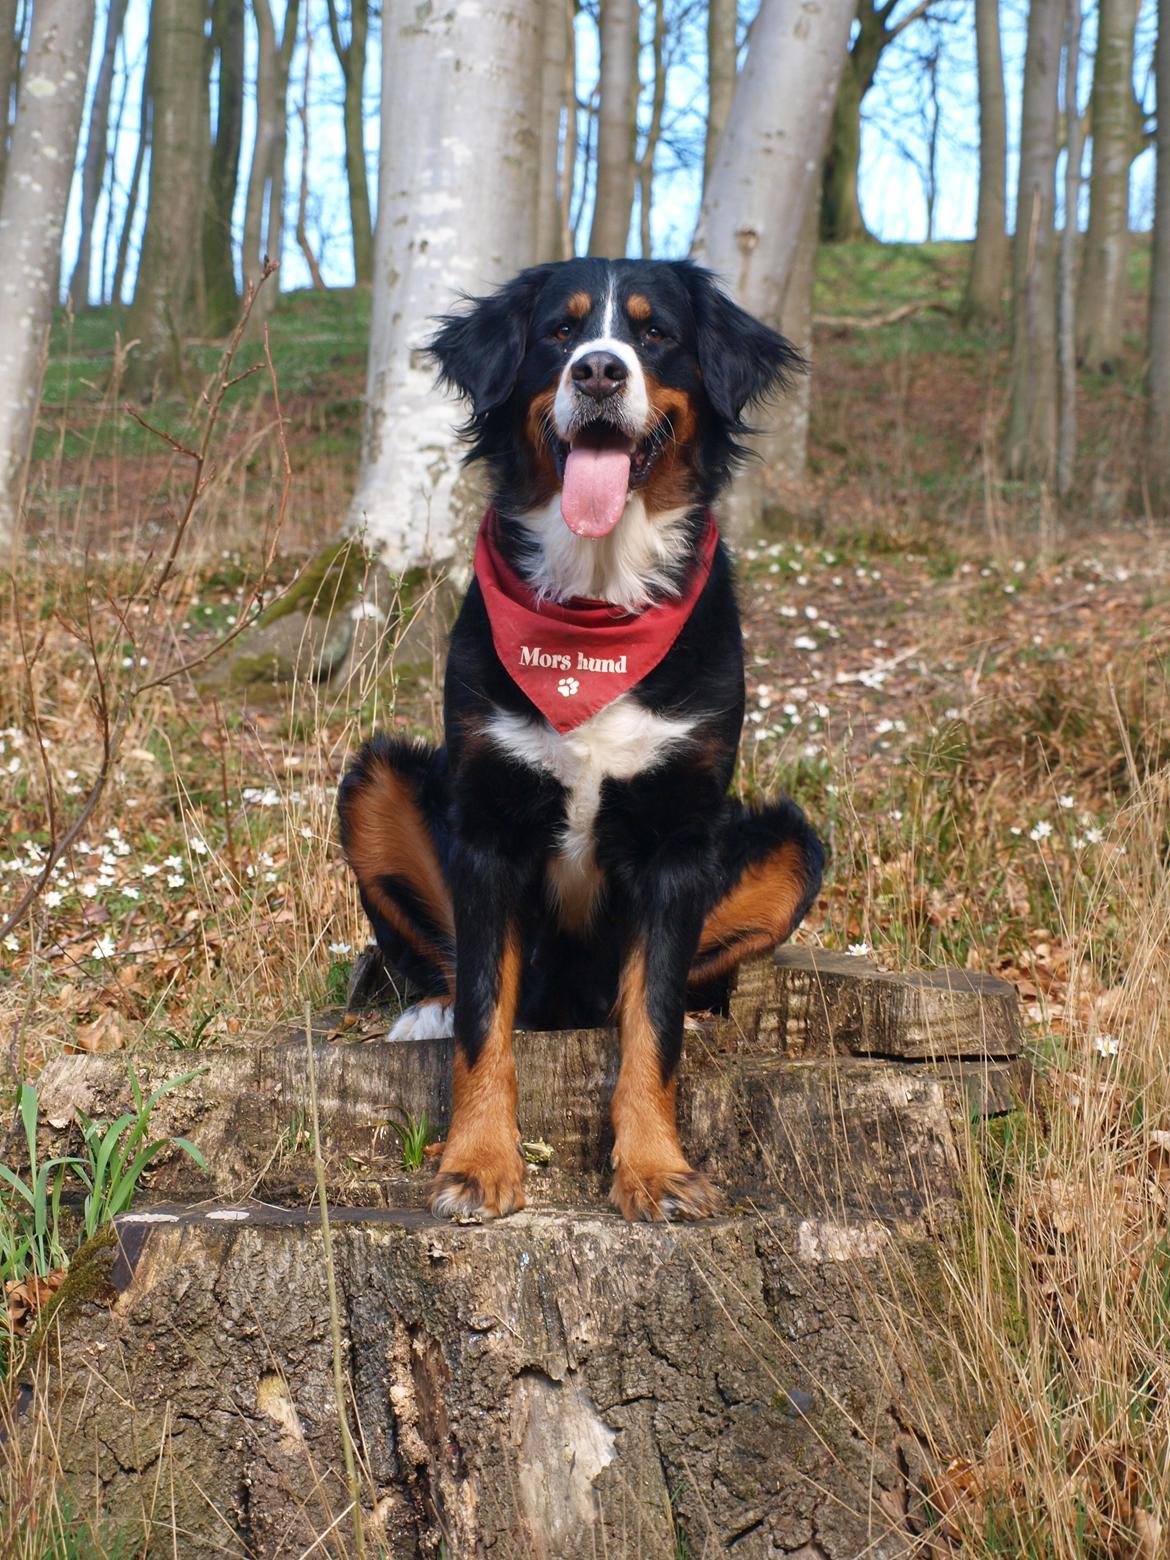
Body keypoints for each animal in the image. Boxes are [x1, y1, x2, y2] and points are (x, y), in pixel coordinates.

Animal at [336, 262, 823, 1223]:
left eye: (656, 333)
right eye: (560, 333)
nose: (599, 370)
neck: (597, 598)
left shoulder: (679, 838)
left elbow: (652, 1026)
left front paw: (655, 1168)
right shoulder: (487, 826)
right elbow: (483, 1017)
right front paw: (478, 1160)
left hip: (792, 845)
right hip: (374, 776)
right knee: (450, 970)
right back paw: (423, 1010)